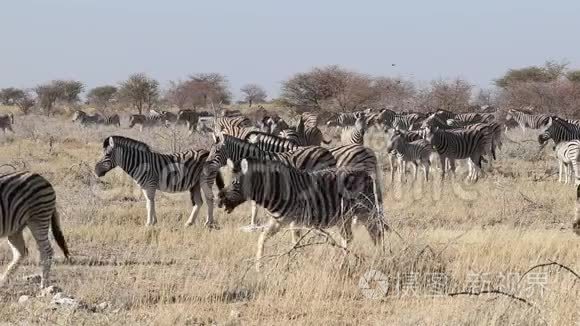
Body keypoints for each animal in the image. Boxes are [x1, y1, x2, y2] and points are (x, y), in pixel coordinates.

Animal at [94, 135, 223, 227]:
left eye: (107, 154)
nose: (95, 171)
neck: (140, 163)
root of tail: (207, 151)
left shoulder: (150, 184)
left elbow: (150, 203)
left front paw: (149, 224)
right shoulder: (145, 187)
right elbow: (149, 203)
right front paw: (153, 221)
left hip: (205, 179)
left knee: (210, 199)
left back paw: (209, 223)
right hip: (195, 183)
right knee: (199, 202)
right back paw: (189, 223)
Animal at [207, 132, 336, 229]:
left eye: (217, 151)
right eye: (210, 150)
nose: (207, 164)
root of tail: (326, 151)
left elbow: (255, 205)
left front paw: (255, 224)